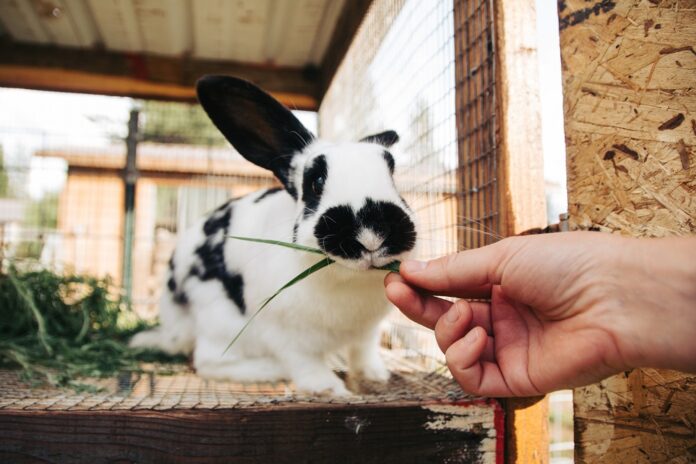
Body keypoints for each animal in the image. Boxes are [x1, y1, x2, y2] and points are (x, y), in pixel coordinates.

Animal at [129, 76, 417, 396]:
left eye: (392, 175)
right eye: (316, 182)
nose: (371, 234)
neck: (347, 279)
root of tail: (173, 328)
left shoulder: (367, 332)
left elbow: (363, 352)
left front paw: (375, 377)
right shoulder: (286, 334)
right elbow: (305, 363)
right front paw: (329, 388)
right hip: (220, 320)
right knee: (208, 362)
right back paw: (270, 370)